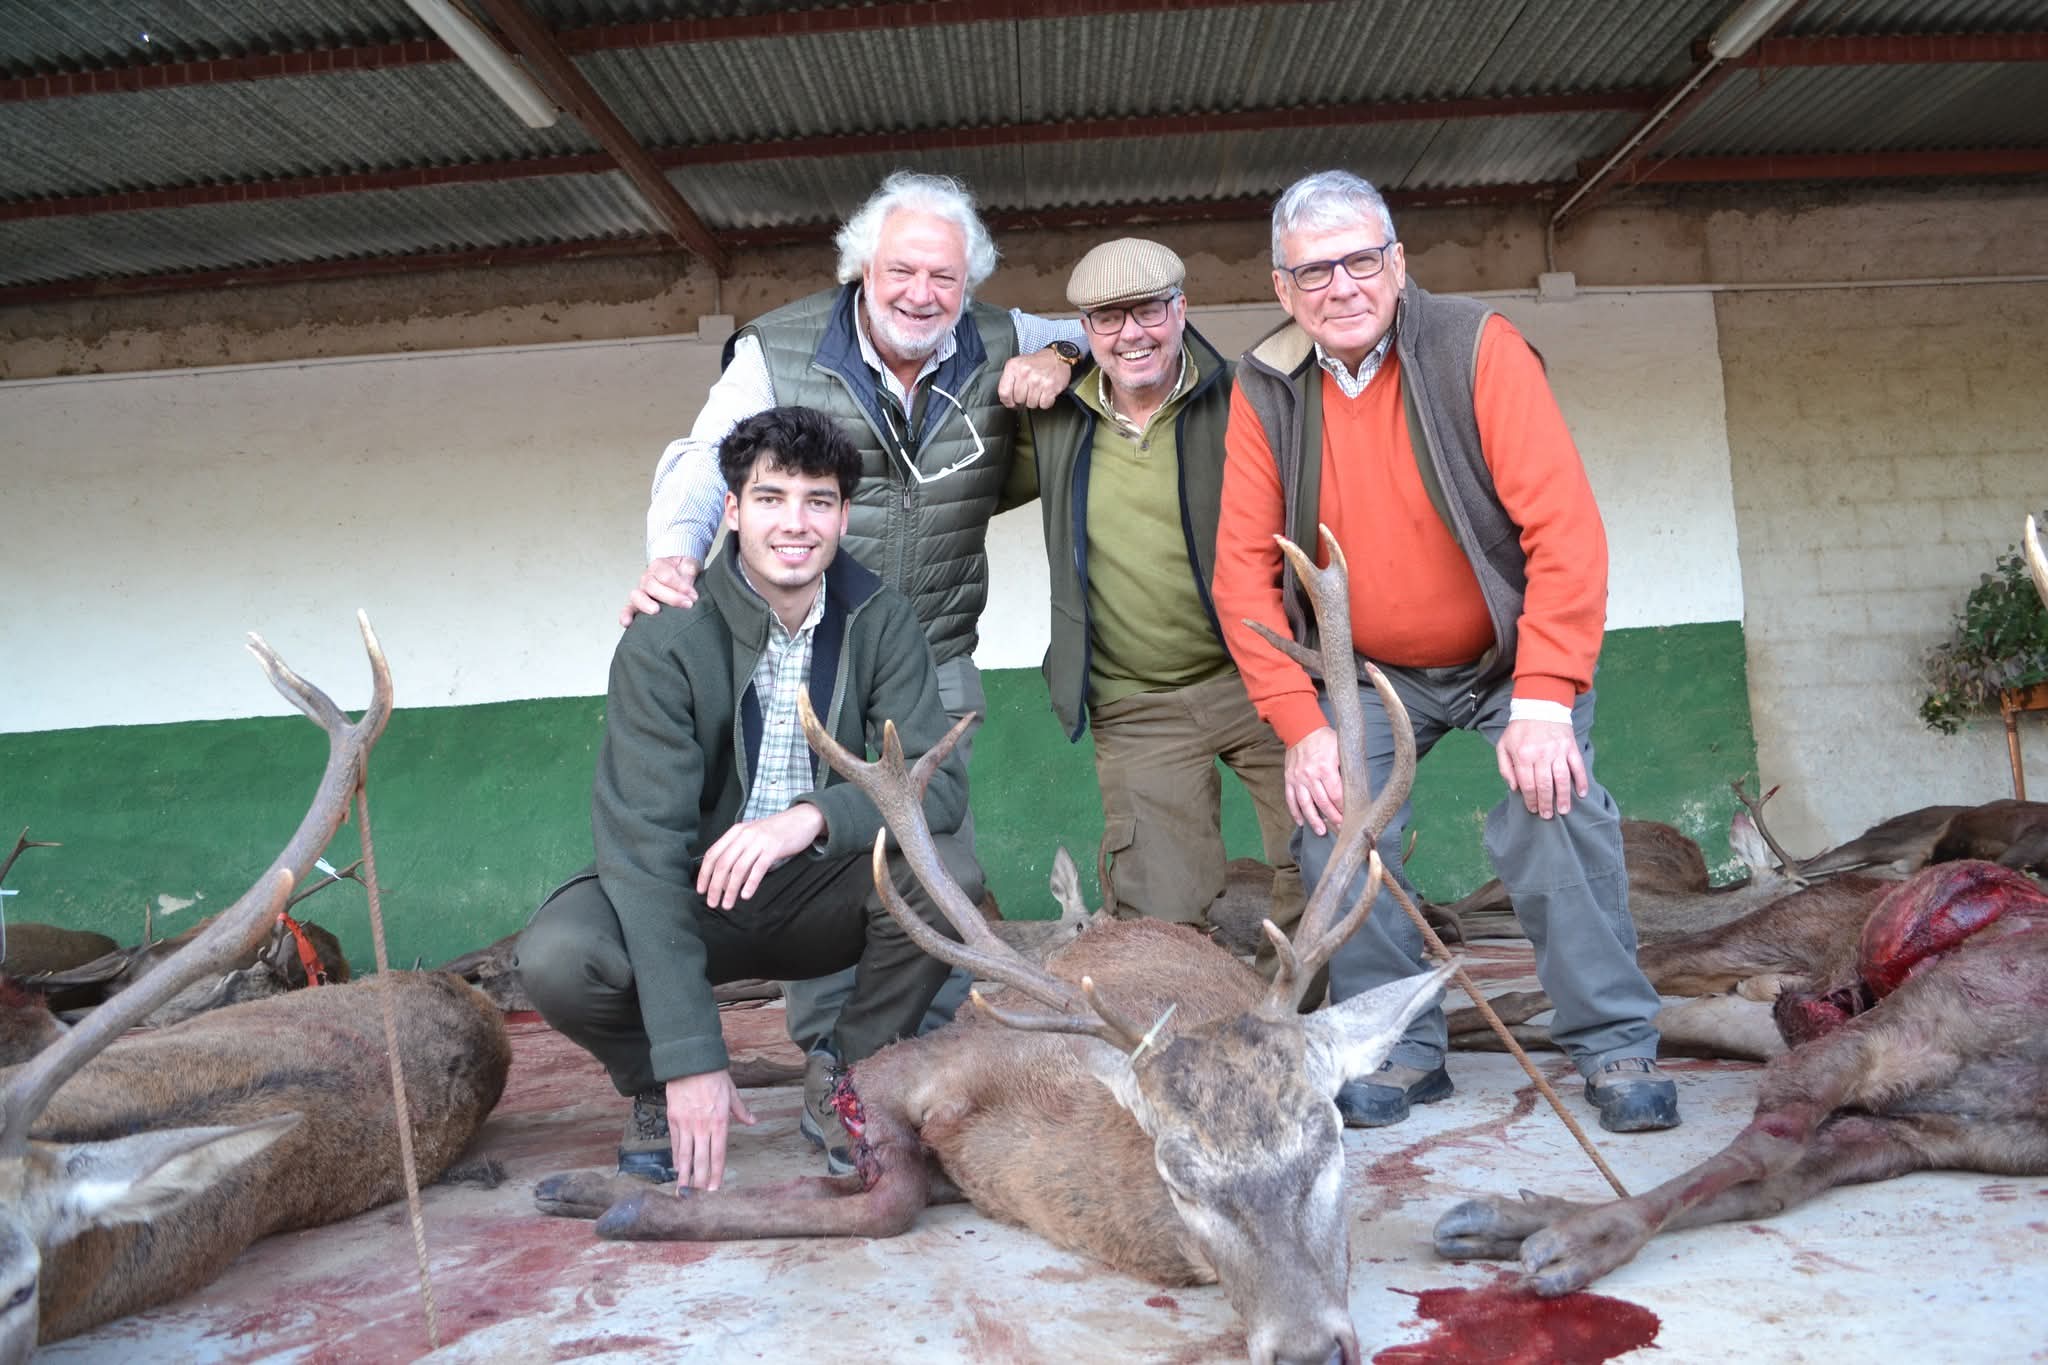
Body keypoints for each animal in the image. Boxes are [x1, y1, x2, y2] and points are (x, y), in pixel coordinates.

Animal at [533, 533, 1453, 1365]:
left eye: (1329, 1143)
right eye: (1181, 1174)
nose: (1308, 1348)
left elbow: (882, 1190)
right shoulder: (927, 1058)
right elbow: (885, 1190)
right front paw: (611, 1197)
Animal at [1430, 515, 2048, 1293]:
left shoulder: (1923, 1133)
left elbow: (1768, 1186)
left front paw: (1536, 1220)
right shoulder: (1871, 1038)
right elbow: (1766, 1148)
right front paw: (1570, 1237)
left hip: (1734, 1015)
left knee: (1588, 1025)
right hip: (1753, 942)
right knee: (1559, 987)